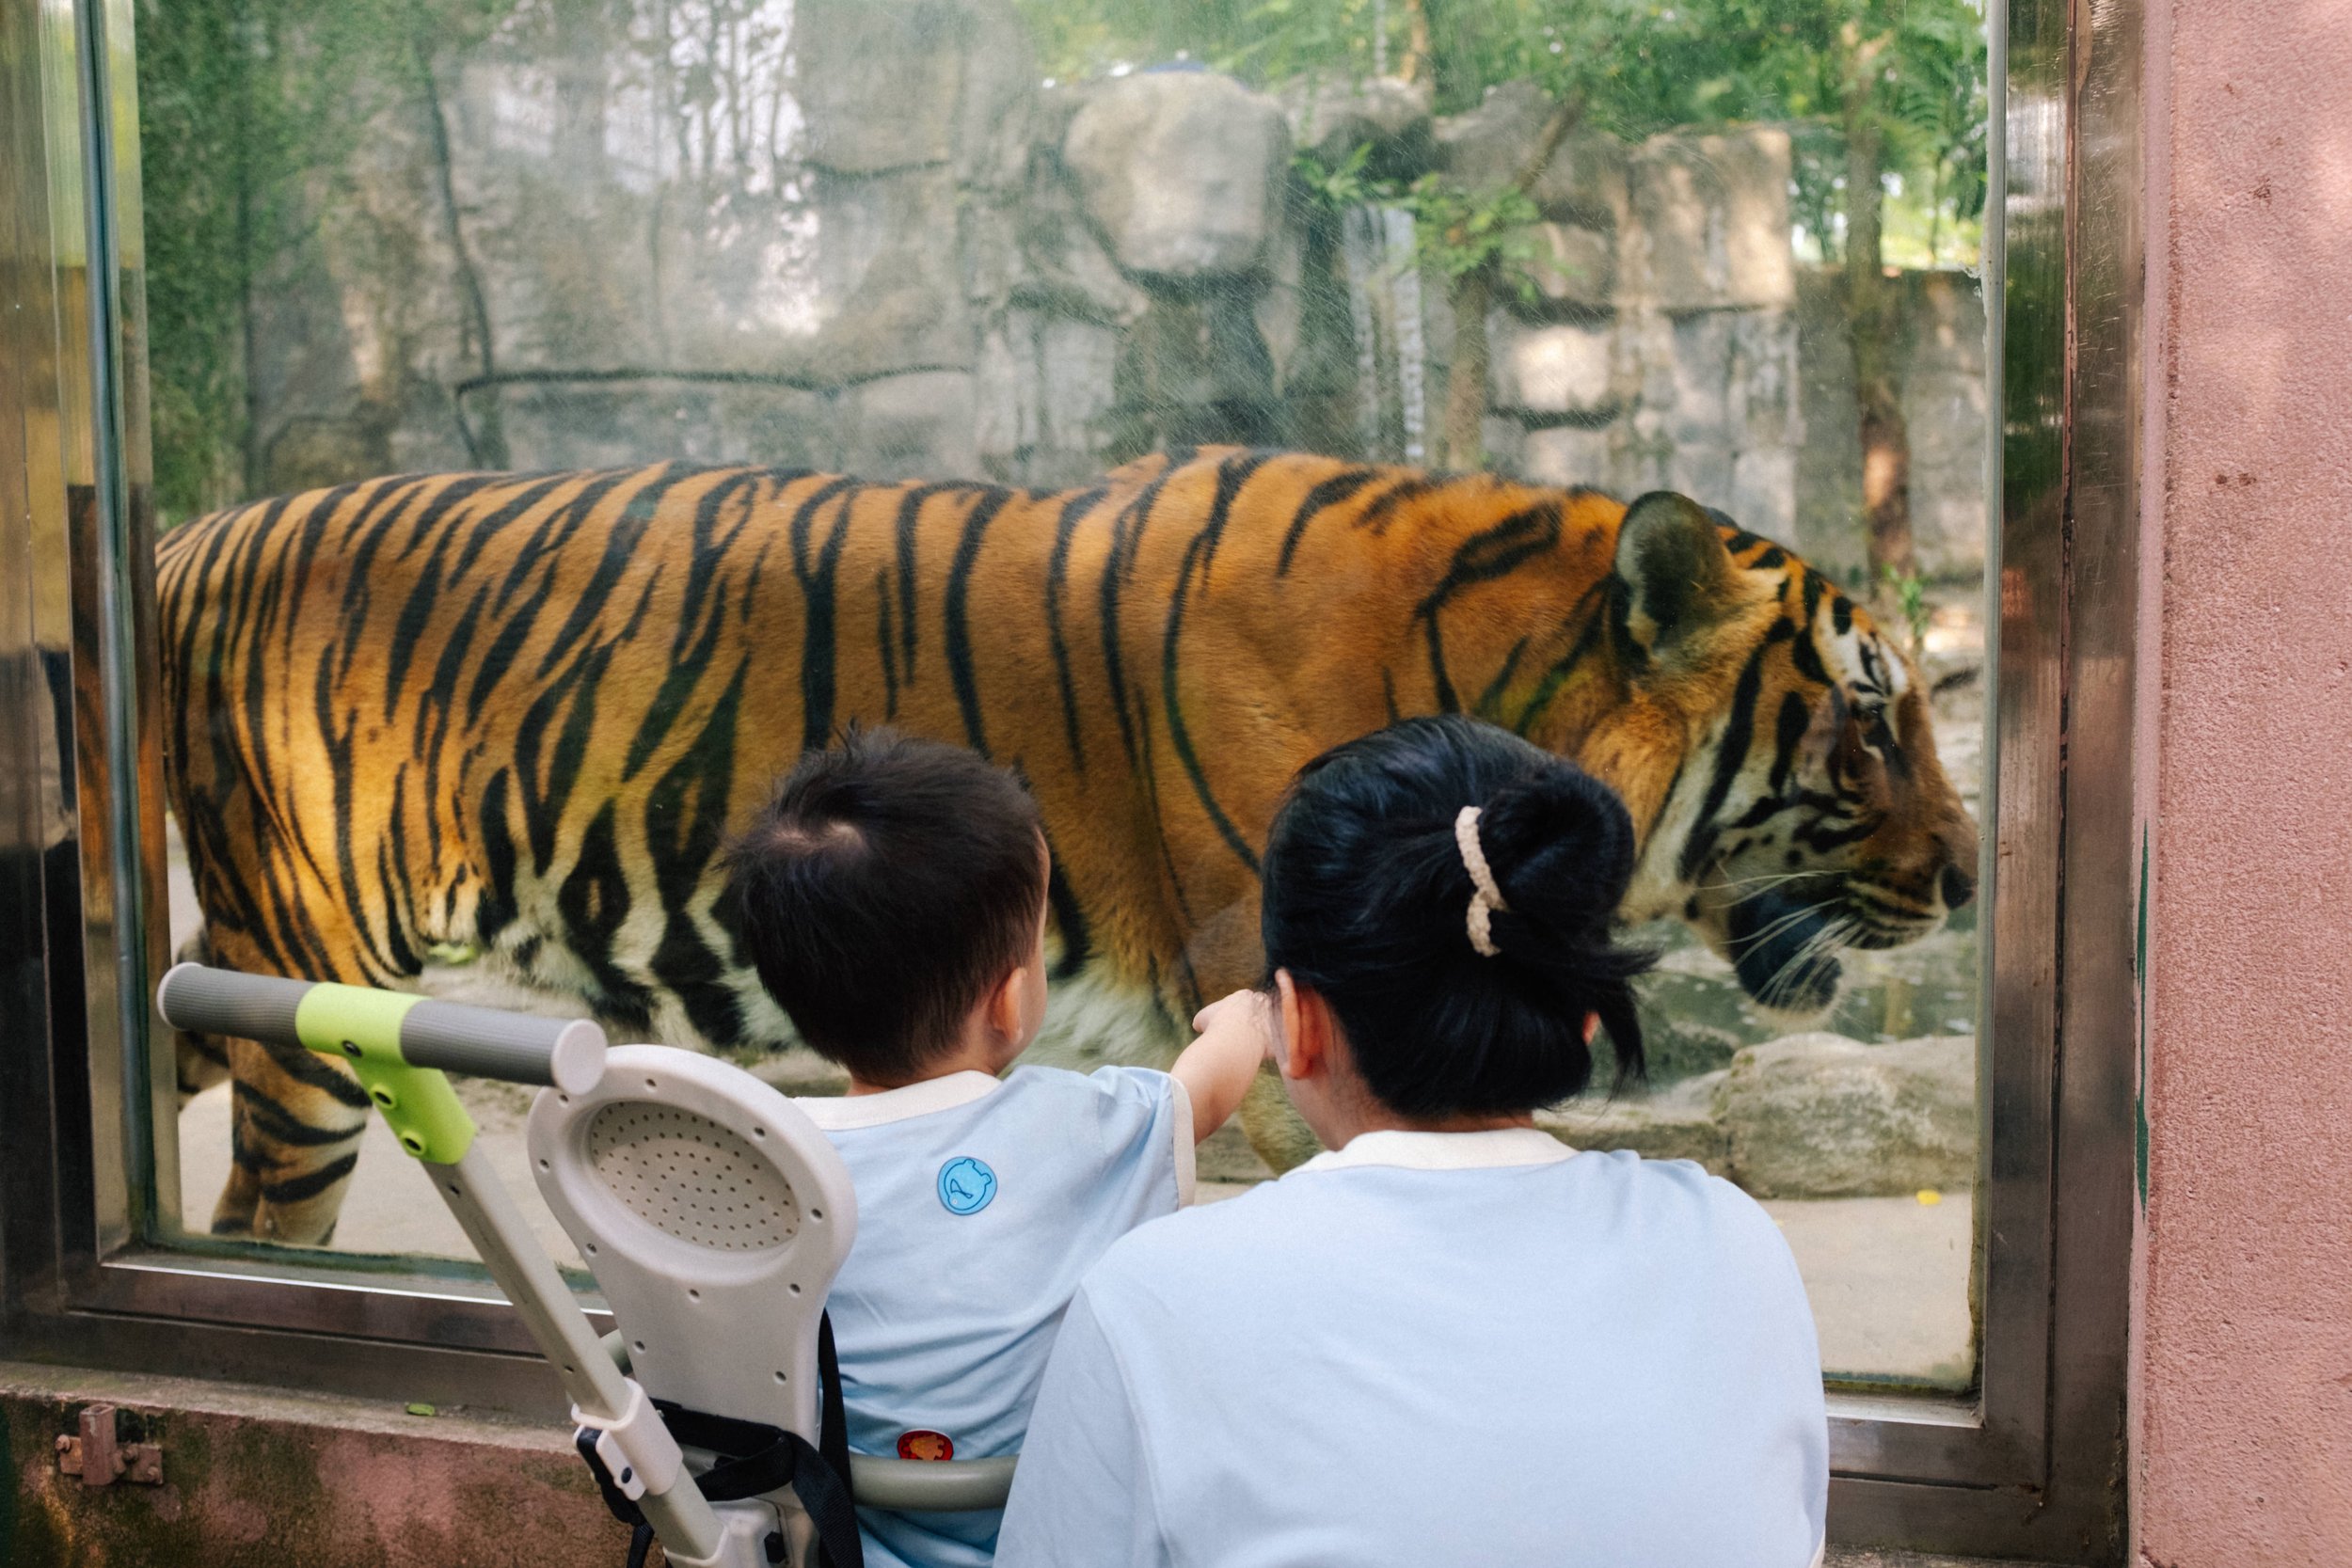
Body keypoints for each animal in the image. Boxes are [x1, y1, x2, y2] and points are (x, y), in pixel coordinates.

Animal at [158, 447, 1978, 1244]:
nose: (1974, 874)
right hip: (302, 983)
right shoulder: (1281, 1000)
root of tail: (186, 532)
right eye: (1871, 718)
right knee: (259, 1205)